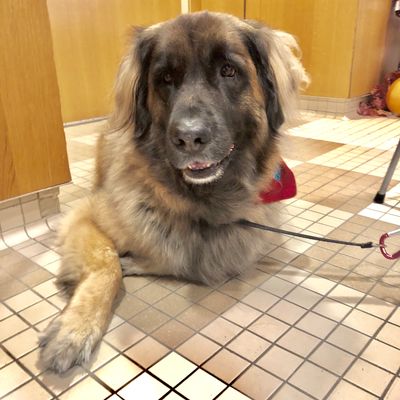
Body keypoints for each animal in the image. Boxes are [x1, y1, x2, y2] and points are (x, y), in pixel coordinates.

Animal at [38, 10, 306, 372]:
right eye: (165, 78)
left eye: (228, 71)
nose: (189, 138)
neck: (196, 201)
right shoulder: (86, 215)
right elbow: (107, 263)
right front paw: (74, 330)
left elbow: (178, 258)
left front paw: (137, 262)